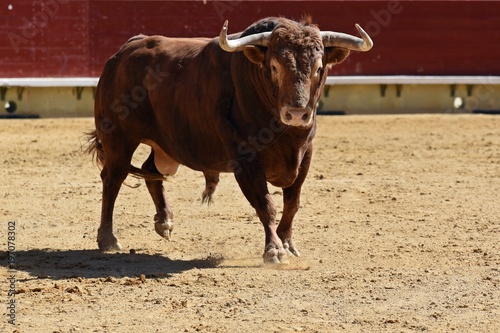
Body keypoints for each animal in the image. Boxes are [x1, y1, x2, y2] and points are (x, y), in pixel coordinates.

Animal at [86, 16, 372, 262]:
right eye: (274, 67)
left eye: (319, 68)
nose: (297, 113)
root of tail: (125, 50)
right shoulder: (246, 160)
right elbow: (266, 204)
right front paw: (274, 251)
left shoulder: (305, 156)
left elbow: (292, 203)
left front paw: (287, 243)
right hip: (119, 139)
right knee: (113, 178)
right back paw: (108, 239)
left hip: (164, 146)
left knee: (150, 171)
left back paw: (164, 222)